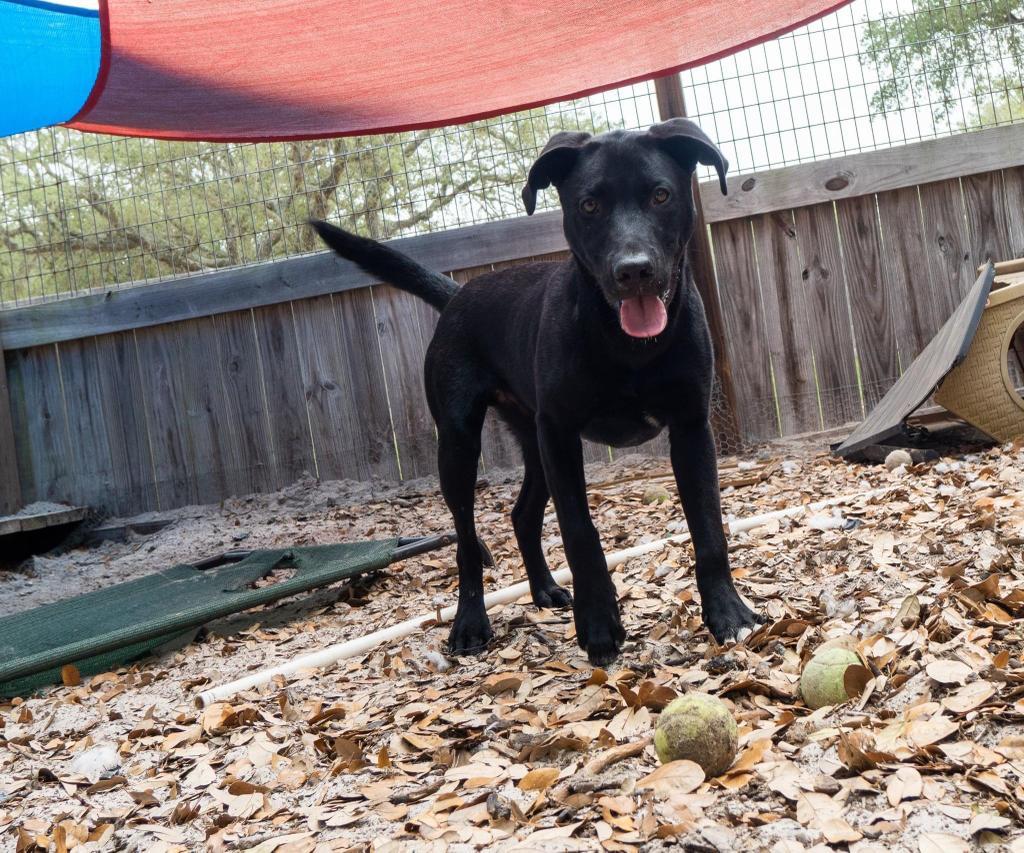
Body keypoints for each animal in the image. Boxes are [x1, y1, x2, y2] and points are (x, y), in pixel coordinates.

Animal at [311, 116, 761, 663]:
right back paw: (469, 623)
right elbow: (580, 533)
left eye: (661, 195)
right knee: (466, 540)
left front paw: (728, 614)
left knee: (522, 515)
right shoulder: (562, 436)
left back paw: (544, 589)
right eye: (588, 205)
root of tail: (460, 292)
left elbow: (709, 528)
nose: (633, 271)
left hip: (534, 443)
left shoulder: (691, 429)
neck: (626, 346)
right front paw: (599, 626)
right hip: (462, 444)